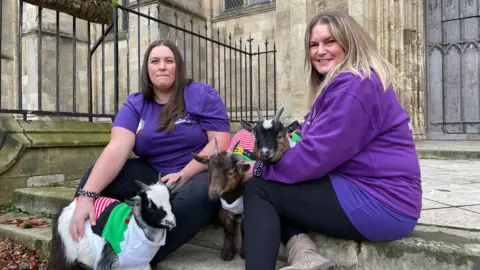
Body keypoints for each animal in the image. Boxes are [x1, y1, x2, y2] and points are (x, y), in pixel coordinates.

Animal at [47, 179, 178, 270]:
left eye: (171, 200)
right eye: (150, 205)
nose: (171, 222)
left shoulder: (140, 265)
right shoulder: (107, 261)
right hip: (66, 250)